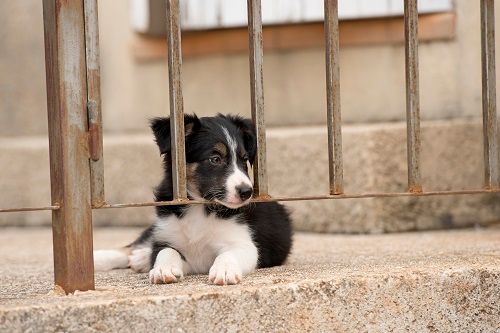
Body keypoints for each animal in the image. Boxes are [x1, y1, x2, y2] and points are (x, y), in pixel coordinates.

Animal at [93, 113, 292, 284]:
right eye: (215, 159)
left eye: (244, 159)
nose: (247, 192)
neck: (200, 207)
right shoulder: (168, 234)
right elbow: (165, 251)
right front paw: (163, 270)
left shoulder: (244, 244)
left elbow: (228, 254)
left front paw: (224, 271)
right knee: (131, 246)